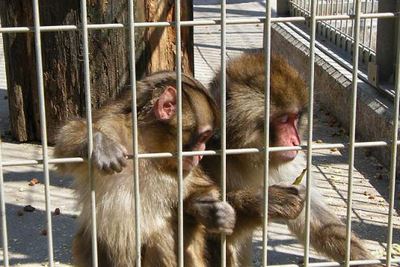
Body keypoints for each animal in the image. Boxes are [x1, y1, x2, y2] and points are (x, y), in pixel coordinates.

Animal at [203, 51, 378, 266]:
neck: (249, 158)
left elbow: (315, 219)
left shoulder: (293, 165)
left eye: (295, 118)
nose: (295, 141)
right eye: (283, 120)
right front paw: (266, 201)